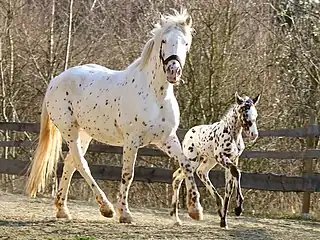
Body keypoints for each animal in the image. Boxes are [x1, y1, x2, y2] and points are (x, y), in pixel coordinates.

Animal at [26, 8, 202, 223]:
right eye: (164, 41)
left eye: (186, 43)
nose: (173, 71)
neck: (155, 95)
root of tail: (56, 80)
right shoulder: (132, 140)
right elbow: (128, 174)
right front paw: (124, 213)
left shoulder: (166, 139)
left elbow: (187, 165)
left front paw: (195, 209)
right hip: (70, 131)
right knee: (81, 163)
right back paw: (106, 208)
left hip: (85, 133)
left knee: (70, 163)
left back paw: (63, 210)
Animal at [170, 92, 260, 227]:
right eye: (245, 113)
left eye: (256, 114)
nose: (254, 134)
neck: (232, 134)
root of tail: (188, 133)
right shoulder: (222, 157)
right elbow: (236, 172)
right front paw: (238, 208)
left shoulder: (233, 159)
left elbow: (229, 187)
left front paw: (224, 220)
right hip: (192, 161)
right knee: (177, 178)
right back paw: (176, 217)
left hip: (208, 161)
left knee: (200, 173)